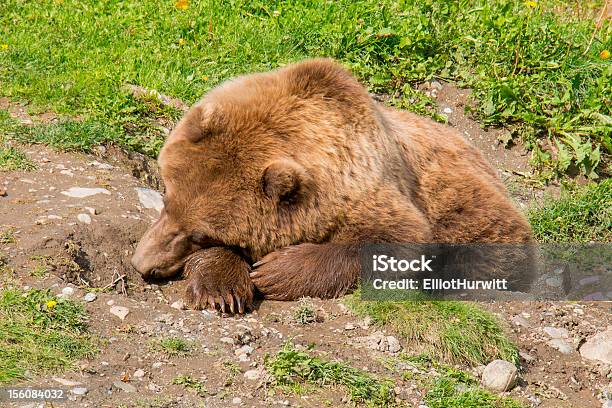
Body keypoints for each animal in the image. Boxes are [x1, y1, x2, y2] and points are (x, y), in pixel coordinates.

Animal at [131, 58, 532, 312]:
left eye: (199, 234)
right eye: (166, 200)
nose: (141, 263)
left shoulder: (372, 190)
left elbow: (395, 239)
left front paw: (271, 272)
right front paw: (223, 289)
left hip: (475, 210)